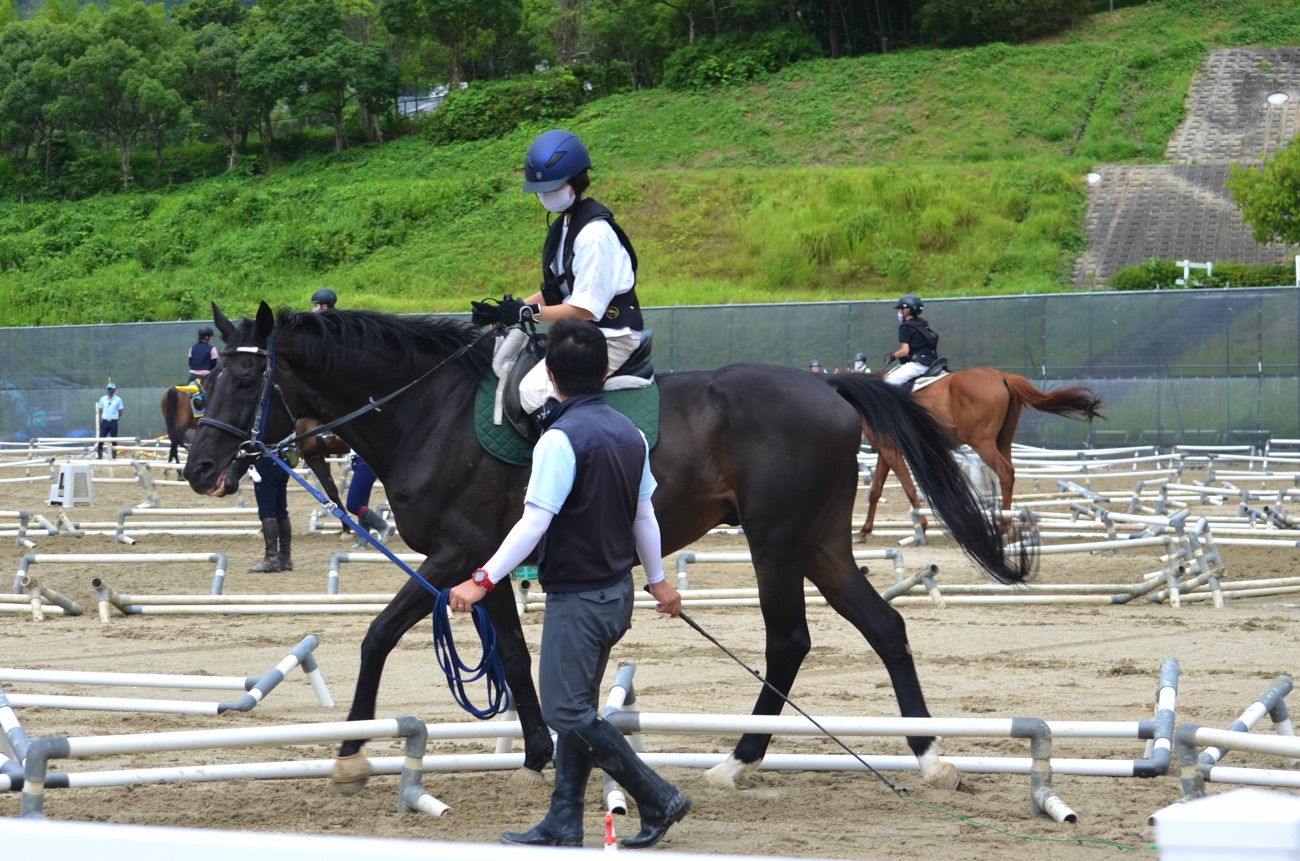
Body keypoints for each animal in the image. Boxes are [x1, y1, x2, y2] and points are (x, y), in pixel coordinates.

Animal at [185, 306, 1034, 801]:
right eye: (210, 376)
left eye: (249, 374)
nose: (198, 468)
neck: (429, 411)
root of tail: (829, 387)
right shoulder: (490, 559)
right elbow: (513, 655)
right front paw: (539, 749)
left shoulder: (455, 552)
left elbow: (377, 634)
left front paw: (350, 752)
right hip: (820, 543)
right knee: (883, 629)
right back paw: (927, 756)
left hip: (777, 542)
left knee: (789, 640)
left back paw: (741, 758)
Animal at [857, 366, 1102, 543]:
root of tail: (1003, 376)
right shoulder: (885, 452)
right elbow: (875, 490)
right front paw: (864, 531)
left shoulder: (890, 450)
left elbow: (908, 487)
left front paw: (922, 526)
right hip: (1003, 441)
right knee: (1008, 475)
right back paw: (1006, 526)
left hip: (982, 442)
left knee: (1005, 472)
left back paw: (1004, 528)